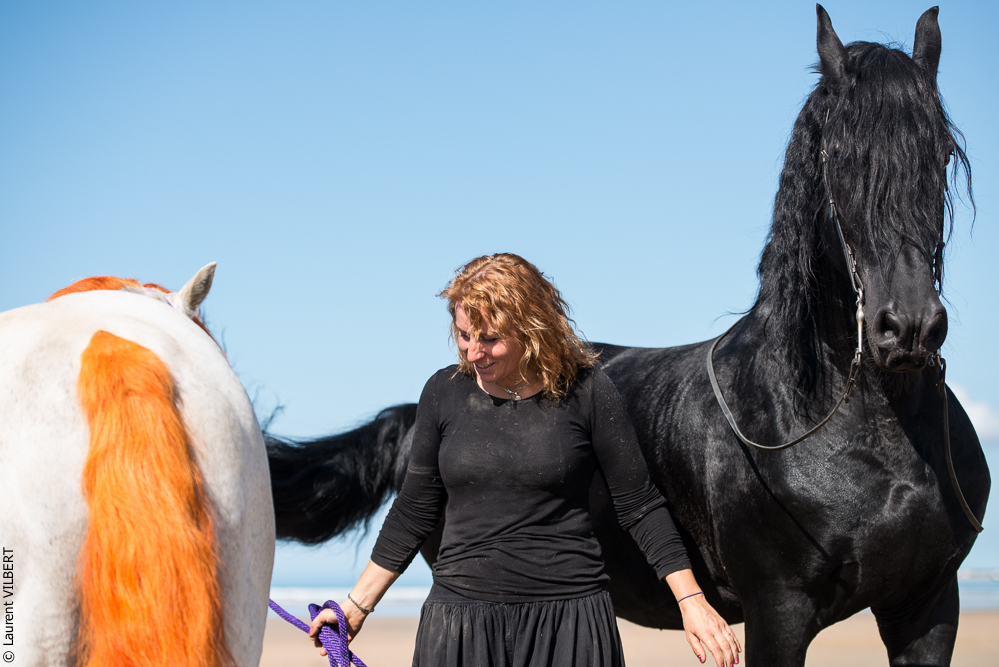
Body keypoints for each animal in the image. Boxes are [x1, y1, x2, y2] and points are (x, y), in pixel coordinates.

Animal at [266, 6, 989, 666]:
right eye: (839, 158)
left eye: (941, 154)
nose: (908, 327)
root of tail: (416, 414)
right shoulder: (779, 613)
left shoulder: (927, 606)